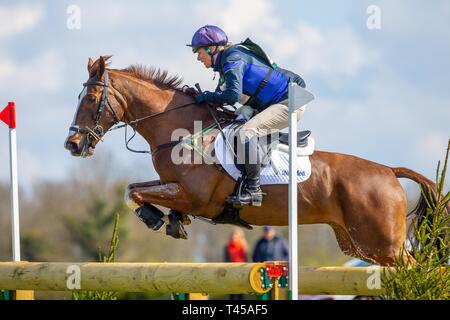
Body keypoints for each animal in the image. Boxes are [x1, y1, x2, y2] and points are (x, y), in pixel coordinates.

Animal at [65, 57, 438, 264]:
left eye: (92, 98)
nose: (72, 144)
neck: (181, 129)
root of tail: (388, 171)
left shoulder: (195, 197)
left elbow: (137, 193)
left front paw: (158, 219)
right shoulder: (174, 187)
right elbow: (134, 189)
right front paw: (170, 221)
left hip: (383, 245)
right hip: (358, 244)